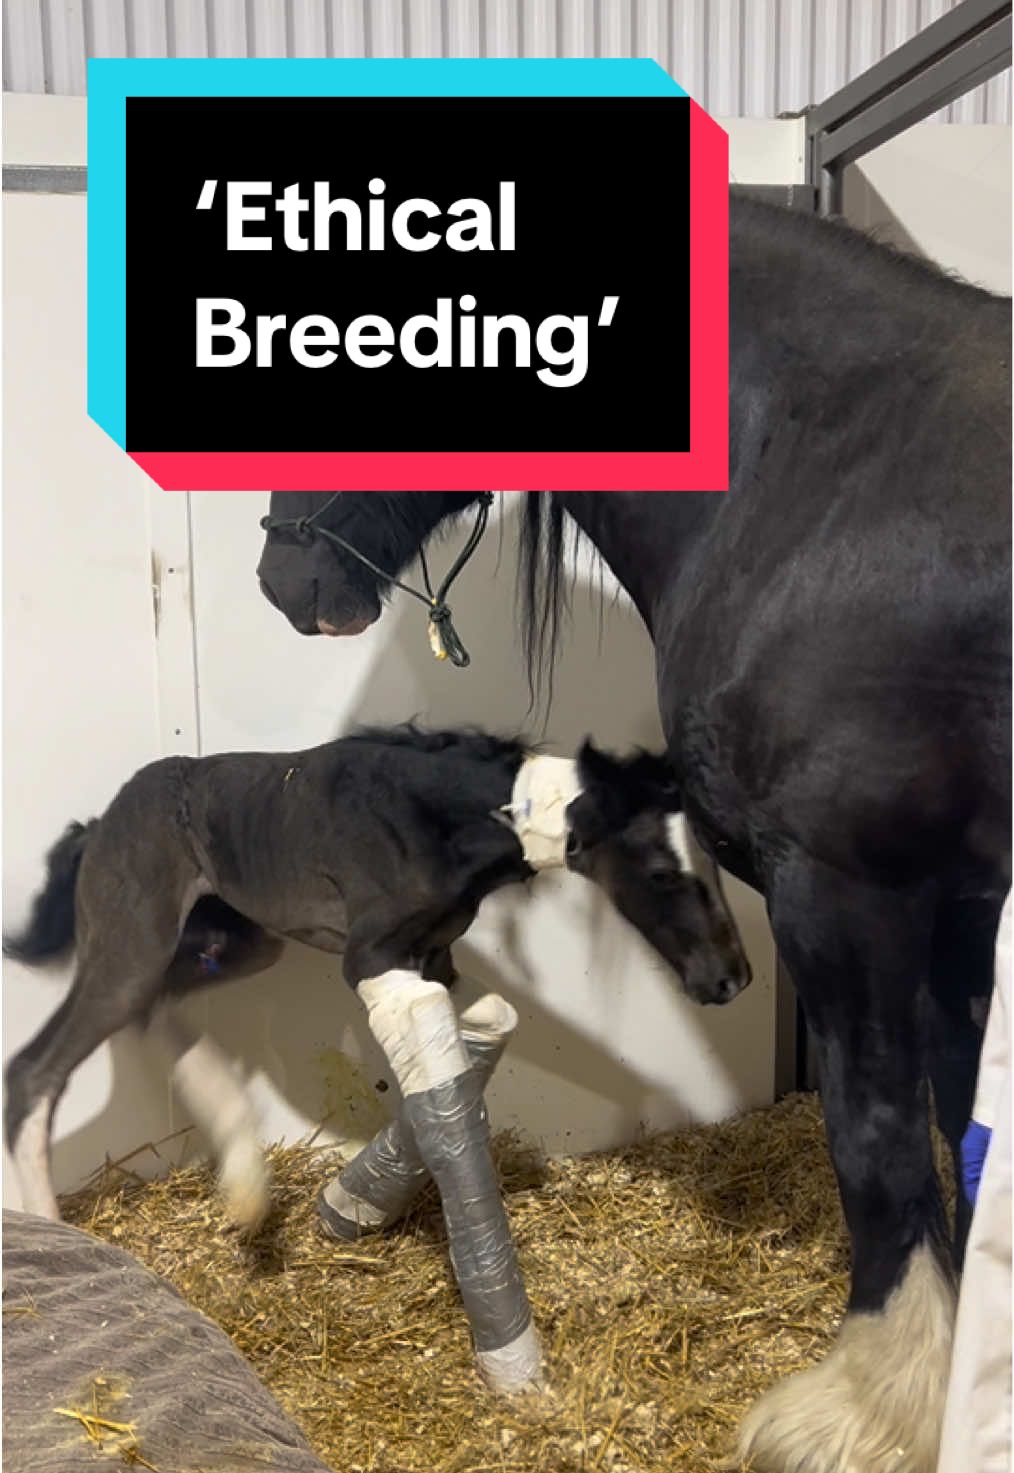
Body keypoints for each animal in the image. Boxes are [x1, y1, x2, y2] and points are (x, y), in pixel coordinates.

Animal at [4, 723, 747, 1396]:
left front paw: (353, 1202)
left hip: (234, 940)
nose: (730, 979)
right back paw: (62, 1233)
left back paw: (245, 1184)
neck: (437, 819)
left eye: (716, 864)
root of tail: (98, 825)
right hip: (134, 944)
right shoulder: (371, 957)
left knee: (154, 1011)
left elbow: (475, 1041)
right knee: (37, 1067)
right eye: (661, 871)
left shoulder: (433, 957)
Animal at [254, 195, 1012, 1471]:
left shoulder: (846, 890)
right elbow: (957, 1124)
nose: (281, 575)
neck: (826, 469)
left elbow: (876, 1137)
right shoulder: (960, 900)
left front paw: (867, 1410)